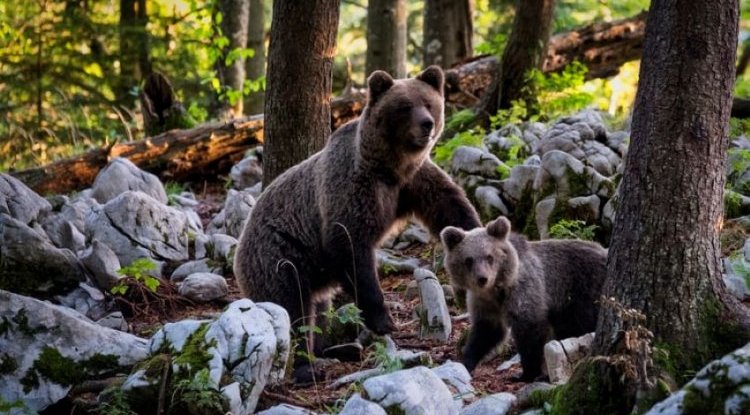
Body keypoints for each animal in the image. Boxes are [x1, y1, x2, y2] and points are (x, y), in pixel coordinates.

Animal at [235, 66, 482, 380]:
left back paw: (336, 348)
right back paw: (306, 367)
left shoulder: (413, 182)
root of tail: (240, 244)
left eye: (429, 103)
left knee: (319, 309)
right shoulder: (352, 189)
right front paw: (383, 320)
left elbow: (450, 206)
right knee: (293, 309)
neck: (389, 167)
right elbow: (351, 246)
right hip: (280, 256)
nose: (426, 124)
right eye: (404, 106)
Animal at [444, 216, 608, 382]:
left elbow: (529, 329)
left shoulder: (524, 289)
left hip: (584, 290)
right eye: (468, 260)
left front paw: (526, 373)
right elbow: (486, 332)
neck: (496, 290)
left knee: (584, 323)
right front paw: (465, 362)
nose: (482, 278)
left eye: (489, 256)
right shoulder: (484, 302)